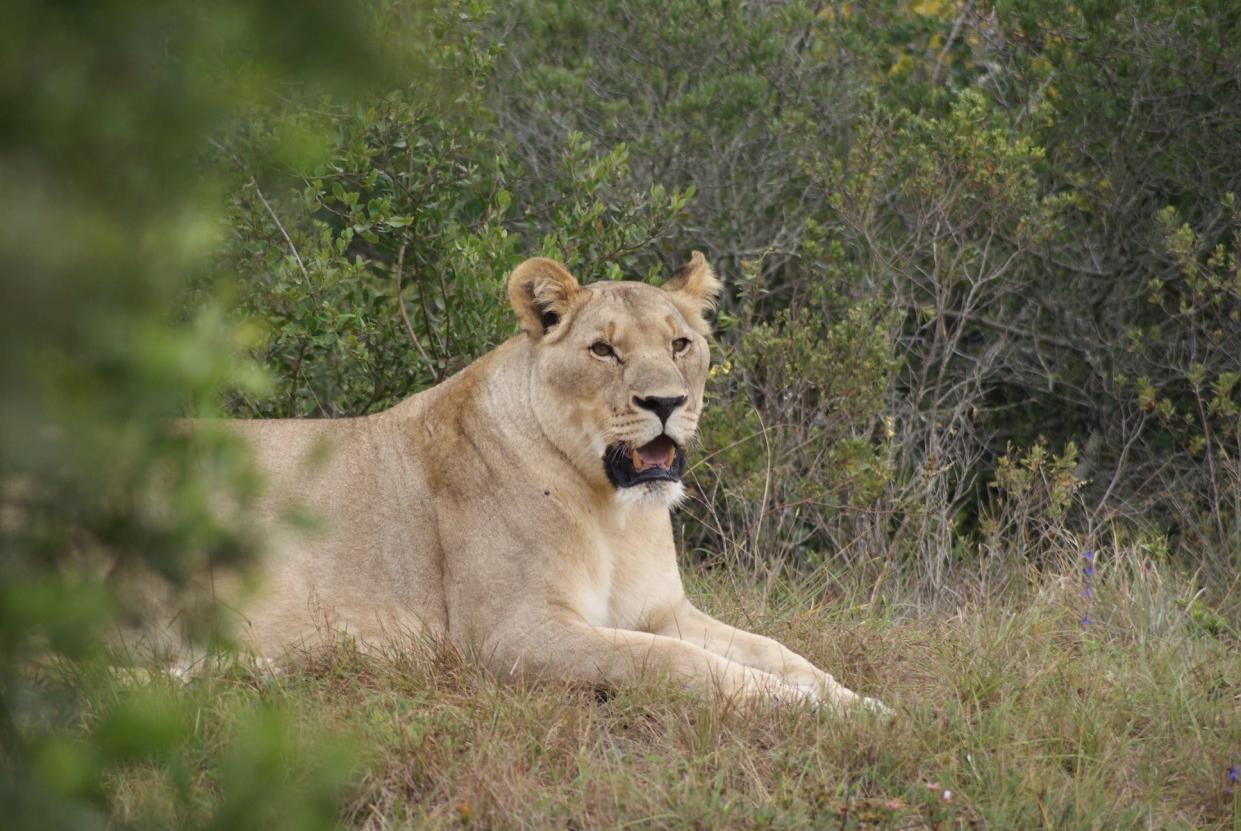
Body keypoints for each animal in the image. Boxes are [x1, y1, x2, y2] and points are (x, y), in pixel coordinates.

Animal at [188, 255, 888, 714]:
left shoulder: (662, 610)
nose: (666, 402)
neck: (614, 513)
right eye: (603, 350)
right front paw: (802, 708)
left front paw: (854, 702)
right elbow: (672, 662)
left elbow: (775, 648)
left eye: (681, 344)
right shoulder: (513, 633)